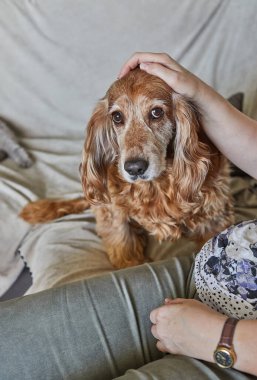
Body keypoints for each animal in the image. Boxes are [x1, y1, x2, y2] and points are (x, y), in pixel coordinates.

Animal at [19, 70, 232, 268]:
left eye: (156, 112)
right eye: (117, 116)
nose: (134, 168)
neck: (156, 185)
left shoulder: (212, 218)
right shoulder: (116, 222)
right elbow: (126, 255)